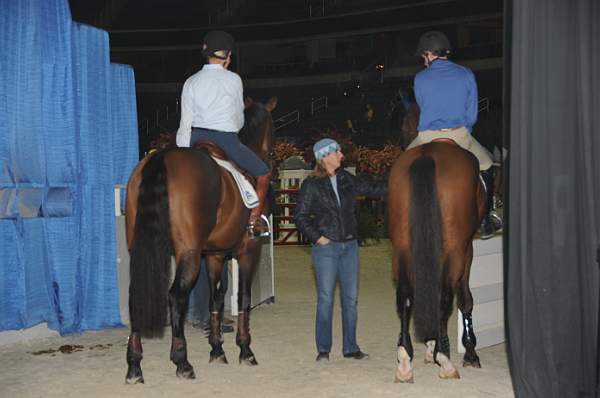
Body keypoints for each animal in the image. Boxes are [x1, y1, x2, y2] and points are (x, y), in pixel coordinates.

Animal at [126, 95, 278, 382]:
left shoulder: (215, 255)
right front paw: (245, 350)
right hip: (189, 254)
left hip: (141, 250)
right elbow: (243, 298)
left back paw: (134, 365)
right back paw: (182, 361)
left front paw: (217, 349)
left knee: (135, 295)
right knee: (176, 296)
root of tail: (160, 158)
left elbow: (215, 298)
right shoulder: (248, 249)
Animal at [386, 141, 486, 382]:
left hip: (402, 248)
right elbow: (465, 300)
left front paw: (430, 346)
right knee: (445, 298)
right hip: (455, 251)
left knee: (405, 298)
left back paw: (405, 361)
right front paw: (469, 352)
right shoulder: (466, 250)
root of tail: (428, 153)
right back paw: (445, 361)